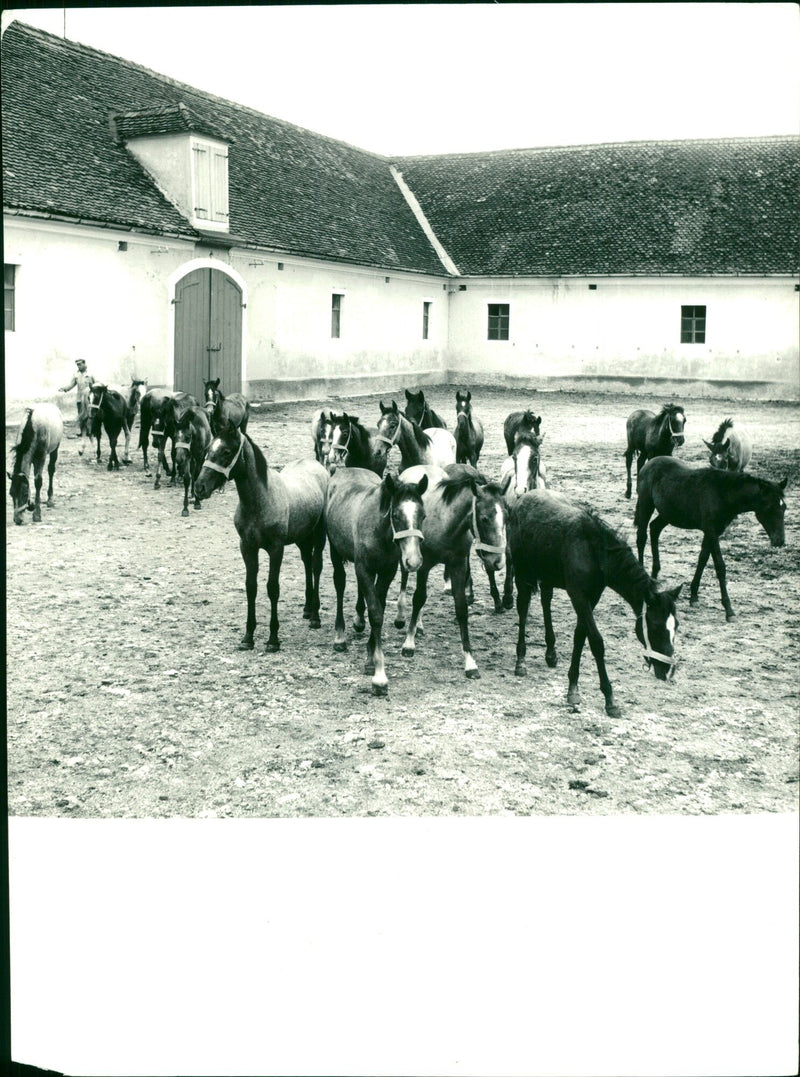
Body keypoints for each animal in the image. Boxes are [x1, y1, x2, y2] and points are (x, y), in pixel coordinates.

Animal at [193, 422, 329, 650]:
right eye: (208, 450)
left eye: (226, 452)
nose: (199, 487)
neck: (260, 500)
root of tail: (319, 468)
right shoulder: (247, 547)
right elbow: (251, 587)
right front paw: (248, 637)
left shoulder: (276, 549)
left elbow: (272, 588)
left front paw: (273, 639)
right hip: (302, 537)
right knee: (307, 563)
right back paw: (307, 608)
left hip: (319, 536)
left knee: (316, 567)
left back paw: (315, 617)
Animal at [323, 467, 428, 693]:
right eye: (396, 515)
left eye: (423, 515)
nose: (414, 561)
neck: (379, 532)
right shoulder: (364, 569)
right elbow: (376, 613)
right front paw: (379, 676)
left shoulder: (387, 571)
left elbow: (378, 607)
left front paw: (370, 658)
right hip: (336, 552)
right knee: (340, 584)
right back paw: (339, 637)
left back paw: (359, 621)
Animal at [396, 463, 512, 672]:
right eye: (484, 519)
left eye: (507, 517)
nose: (498, 562)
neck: (445, 523)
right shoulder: (423, 565)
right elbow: (418, 598)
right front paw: (408, 643)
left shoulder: (458, 566)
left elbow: (461, 608)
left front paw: (470, 661)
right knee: (405, 577)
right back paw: (403, 617)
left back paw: (419, 625)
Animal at [510, 488, 684, 715]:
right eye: (654, 626)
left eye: (676, 626)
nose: (667, 670)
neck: (592, 550)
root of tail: (523, 497)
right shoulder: (579, 597)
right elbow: (596, 642)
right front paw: (609, 698)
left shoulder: (591, 598)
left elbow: (580, 636)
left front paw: (572, 688)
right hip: (522, 571)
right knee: (523, 606)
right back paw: (521, 660)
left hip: (547, 575)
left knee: (546, 601)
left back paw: (551, 653)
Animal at [637, 454, 788, 624]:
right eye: (769, 507)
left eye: (784, 507)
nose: (779, 541)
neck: (723, 493)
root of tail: (650, 462)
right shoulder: (712, 531)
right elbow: (720, 567)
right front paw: (729, 610)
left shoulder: (713, 532)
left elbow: (703, 559)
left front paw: (693, 596)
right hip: (645, 505)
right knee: (641, 537)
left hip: (669, 513)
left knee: (654, 529)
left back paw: (655, 574)